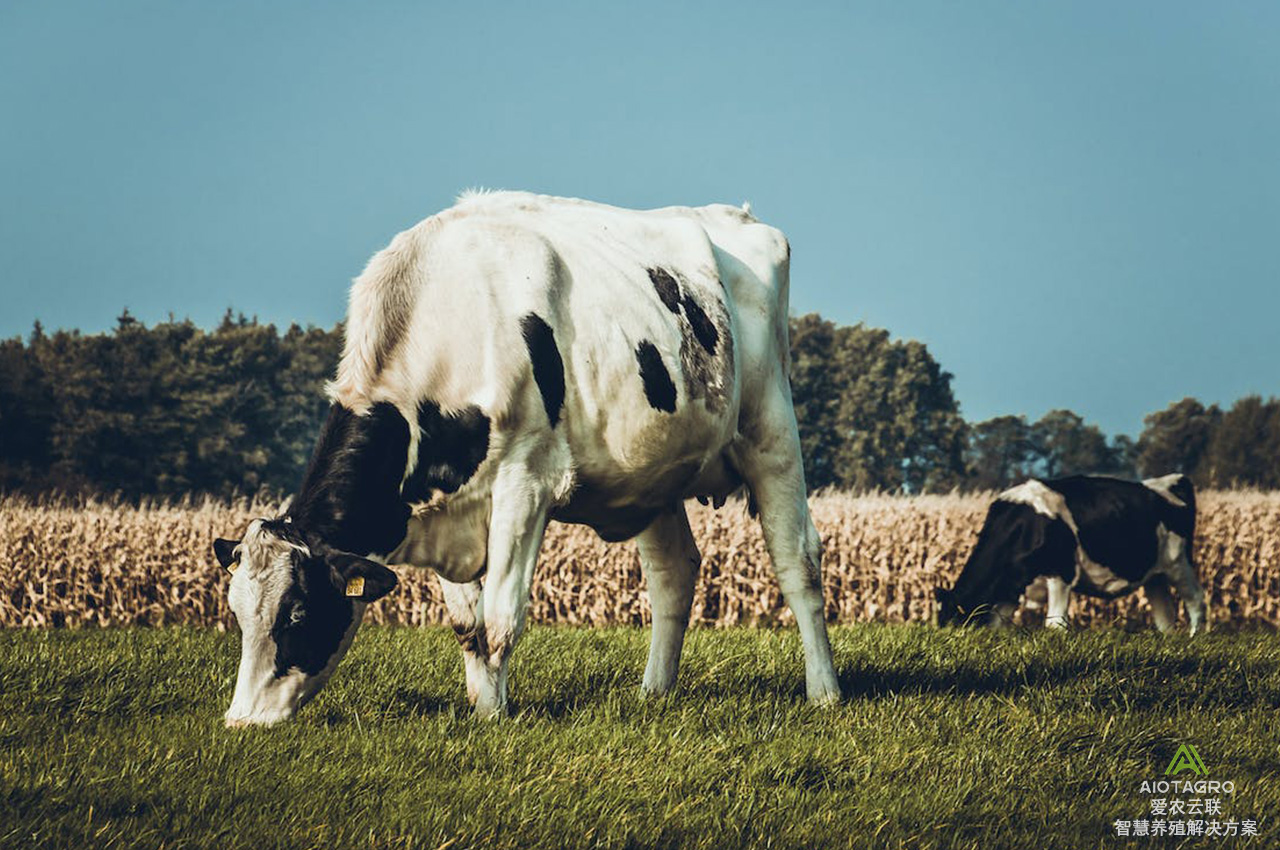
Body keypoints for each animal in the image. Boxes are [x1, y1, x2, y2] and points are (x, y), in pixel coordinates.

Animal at [215, 190, 844, 721]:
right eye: (237, 613)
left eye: (297, 614)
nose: (241, 722)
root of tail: (739, 215)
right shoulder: (442, 507)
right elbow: (466, 626)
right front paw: (482, 709)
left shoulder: (526, 484)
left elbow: (499, 619)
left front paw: (496, 720)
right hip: (654, 474)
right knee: (674, 574)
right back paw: (653, 693)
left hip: (772, 431)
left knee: (798, 563)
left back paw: (825, 693)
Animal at [936, 473, 1203, 634]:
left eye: (954, 623)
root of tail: (1171, 480)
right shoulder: (1010, 587)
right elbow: (998, 623)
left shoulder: (1061, 572)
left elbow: (1055, 623)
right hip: (1154, 575)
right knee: (1165, 613)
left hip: (1179, 563)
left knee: (1196, 600)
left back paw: (1194, 636)